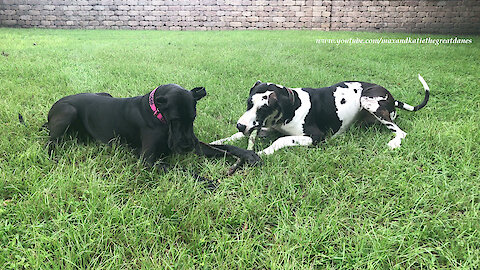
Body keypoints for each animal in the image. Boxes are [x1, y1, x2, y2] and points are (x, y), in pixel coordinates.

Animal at [47, 84, 260, 181]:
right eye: (175, 120)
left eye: (193, 118)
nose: (186, 146)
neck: (157, 115)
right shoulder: (148, 160)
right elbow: (181, 170)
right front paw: (207, 181)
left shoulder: (197, 144)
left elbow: (223, 147)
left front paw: (247, 155)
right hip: (68, 112)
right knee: (49, 142)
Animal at [212, 74, 430, 154]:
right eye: (249, 103)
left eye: (264, 108)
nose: (240, 124)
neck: (293, 105)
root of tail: (392, 98)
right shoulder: (268, 127)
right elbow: (237, 136)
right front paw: (220, 141)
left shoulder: (316, 137)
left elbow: (281, 140)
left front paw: (263, 152)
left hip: (370, 102)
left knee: (401, 131)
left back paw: (395, 142)